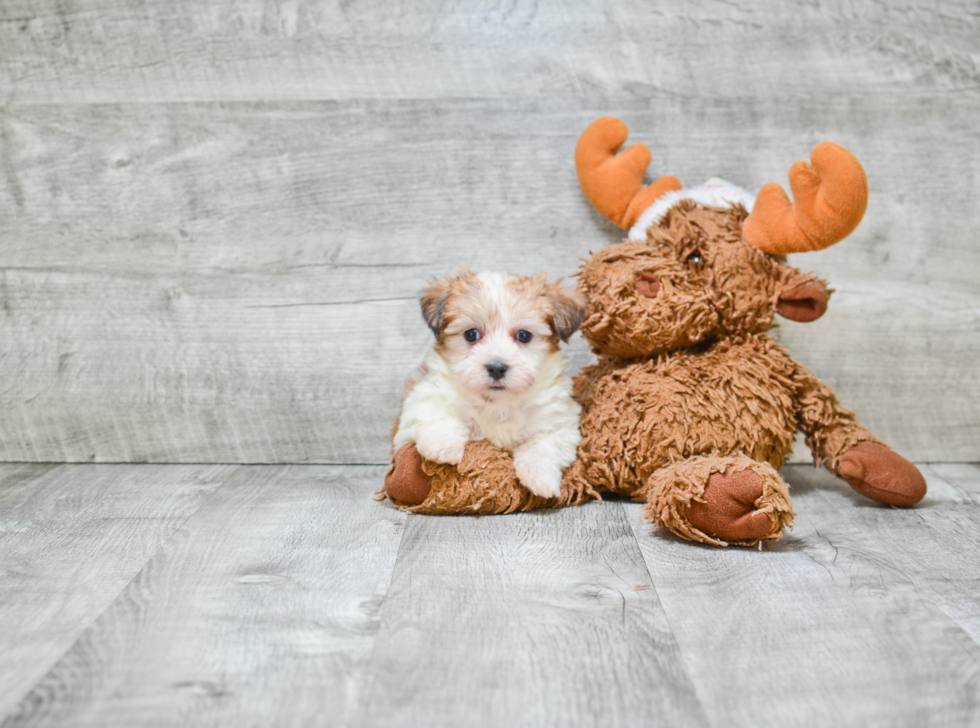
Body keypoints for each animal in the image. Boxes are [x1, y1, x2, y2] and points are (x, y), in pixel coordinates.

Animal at [392, 270, 588, 498]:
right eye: (471, 334)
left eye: (524, 335)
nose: (496, 367)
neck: (497, 403)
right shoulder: (420, 401)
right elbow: (435, 413)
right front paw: (443, 444)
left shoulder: (560, 422)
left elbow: (542, 443)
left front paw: (540, 475)